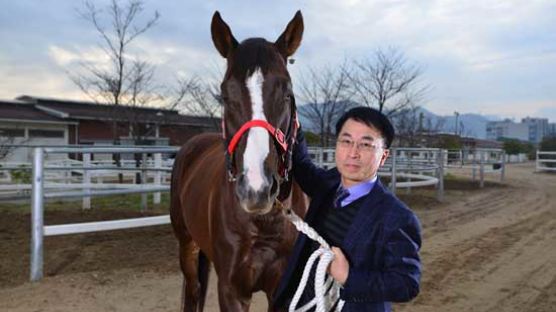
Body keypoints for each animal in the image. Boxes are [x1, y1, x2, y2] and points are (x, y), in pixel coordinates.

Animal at [170, 11, 306, 310]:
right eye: (225, 95)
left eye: (287, 93)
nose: (257, 189)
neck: (264, 224)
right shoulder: (231, 290)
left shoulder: (282, 290)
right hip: (186, 245)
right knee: (194, 291)